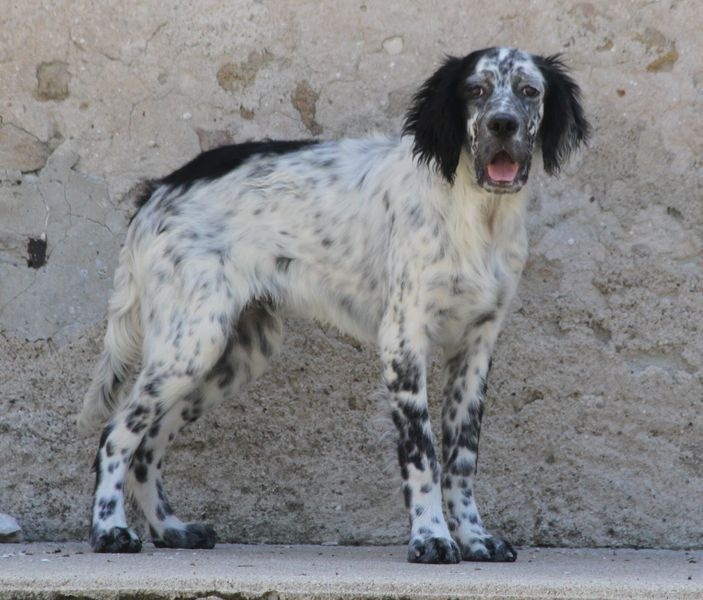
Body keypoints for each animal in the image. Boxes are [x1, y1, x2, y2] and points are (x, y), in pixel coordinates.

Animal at [79, 47, 589, 563]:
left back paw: (170, 530)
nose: (503, 124)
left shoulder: (477, 347)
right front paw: (431, 537)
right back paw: (110, 530)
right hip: (190, 344)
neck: (477, 215)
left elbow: (461, 457)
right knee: (116, 434)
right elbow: (422, 456)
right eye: (476, 90)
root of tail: (158, 191)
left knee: (147, 447)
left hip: (231, 356)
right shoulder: (404, 340)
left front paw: (474, 537)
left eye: (529, 91)